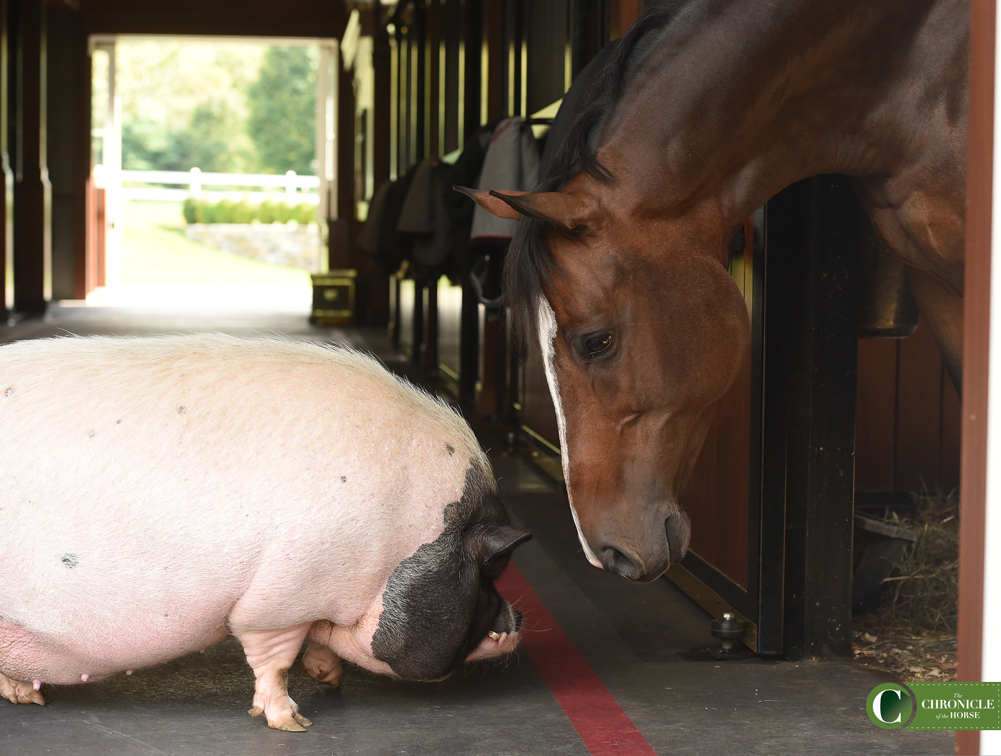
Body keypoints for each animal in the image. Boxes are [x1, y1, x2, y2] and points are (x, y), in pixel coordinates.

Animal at [0, 334, 532, 728]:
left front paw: (331, 679)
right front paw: (294, 724)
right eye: (492, 568)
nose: (519, 619)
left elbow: (316, 643)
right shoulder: (280, 600)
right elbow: (273, 659)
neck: (394, 543)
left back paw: (30, 699)